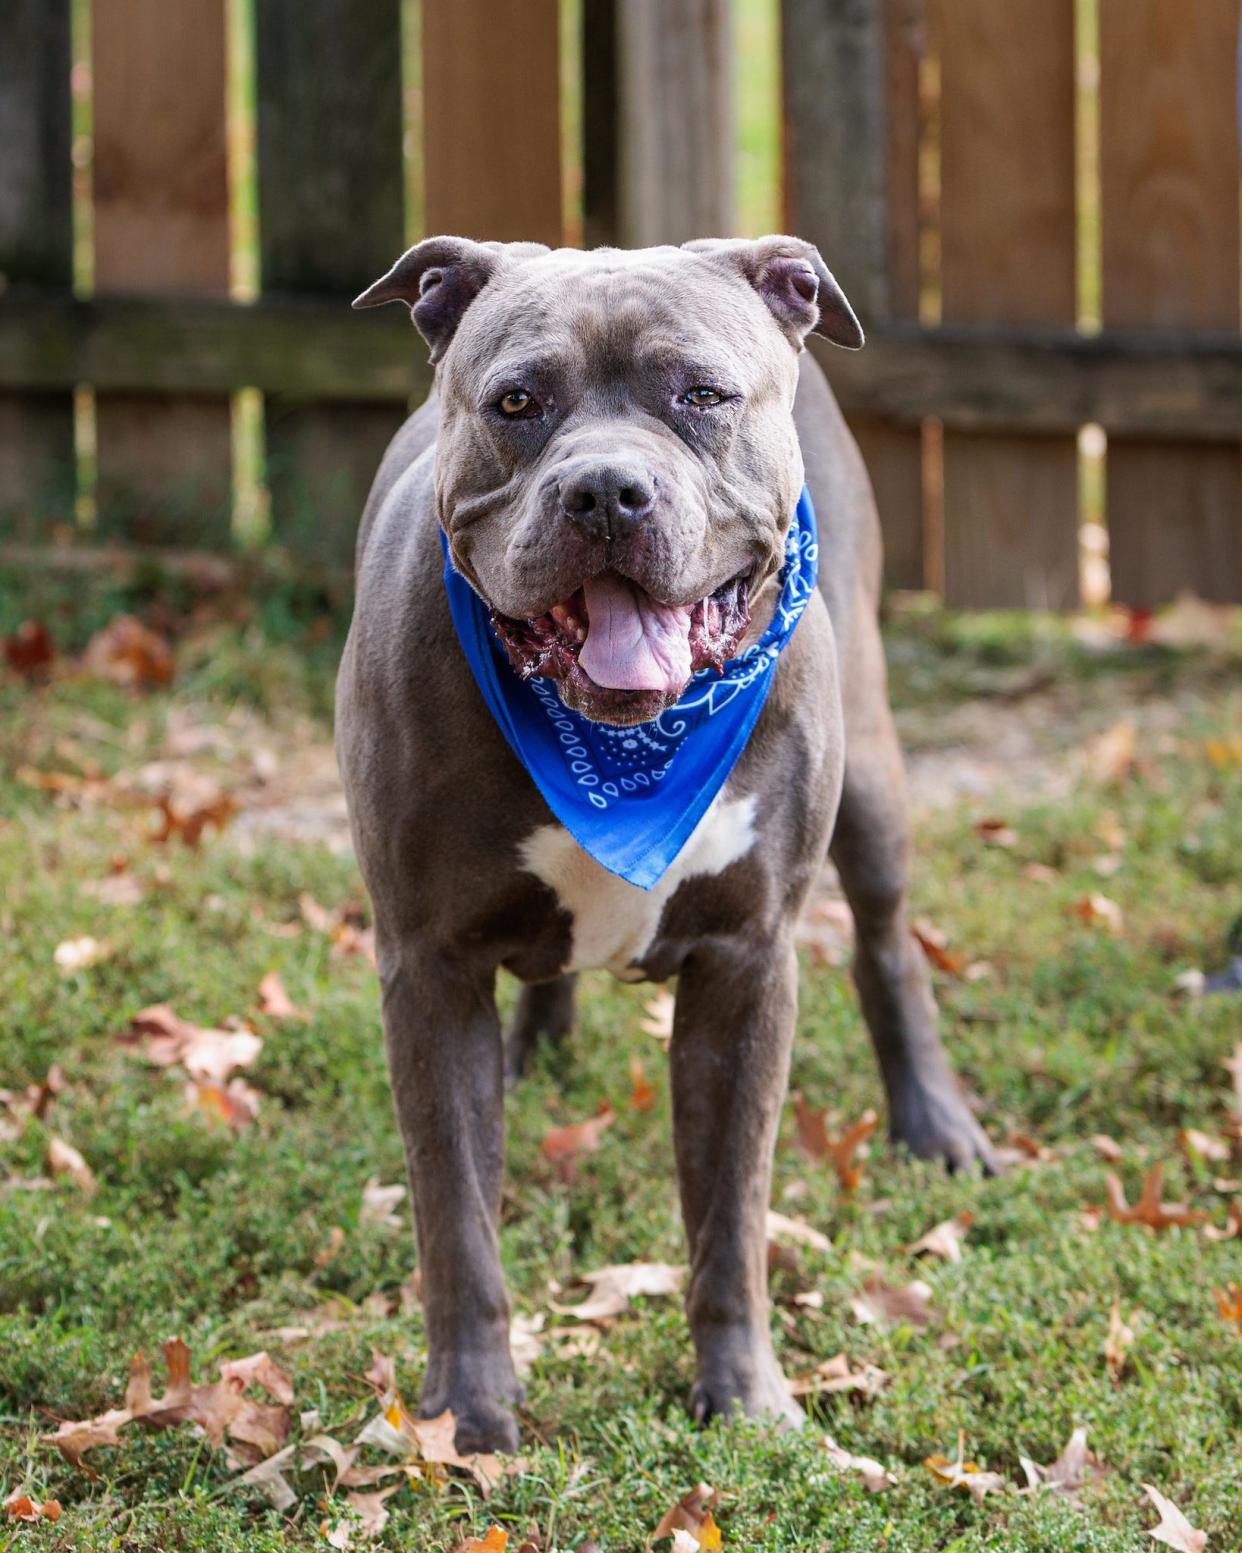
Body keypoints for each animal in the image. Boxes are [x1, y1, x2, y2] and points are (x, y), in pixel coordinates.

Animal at [335, 232, 993, 1453]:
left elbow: (730, 1214)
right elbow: (457, 1217)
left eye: (701, 396)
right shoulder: (428, 967)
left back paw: (935, 1120)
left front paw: (745, 1398)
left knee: (886, 938)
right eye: (517, 401)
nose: (606, 488)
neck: (624, 749)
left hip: (874, 774)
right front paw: (467, 1412)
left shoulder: (747, 963)